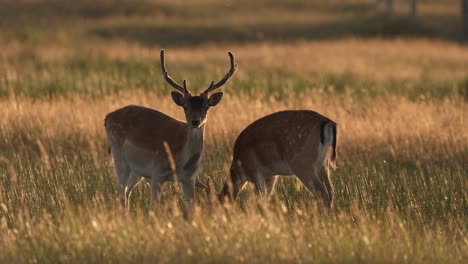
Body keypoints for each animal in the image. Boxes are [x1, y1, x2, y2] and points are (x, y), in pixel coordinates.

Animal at [105, 49, 238, 210]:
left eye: (206, 106)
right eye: (185, 106)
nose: (195, 121)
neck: (181, 162)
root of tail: (107, 117)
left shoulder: (189, 178)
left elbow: (192, 207)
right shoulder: (157, 172)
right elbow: (154, 206)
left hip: (136, 171)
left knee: (126, 193)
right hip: (119, 158)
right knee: (120, 192)